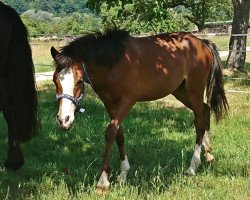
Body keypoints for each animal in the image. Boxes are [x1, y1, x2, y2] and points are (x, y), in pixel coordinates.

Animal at [50, 28, 229, 191]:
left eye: (79, 81)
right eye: (54, 80)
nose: (64, 120)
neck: (115, 62)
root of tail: (202, 43)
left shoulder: (127, 101)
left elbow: (110, 132)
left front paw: (103, 180)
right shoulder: (110, 104)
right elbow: (119, 134)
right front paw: (123, 174)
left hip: (194, 91)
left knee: (199, 121)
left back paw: (193, 166)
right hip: (181, 91)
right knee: (206, 110)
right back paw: (208, 154)